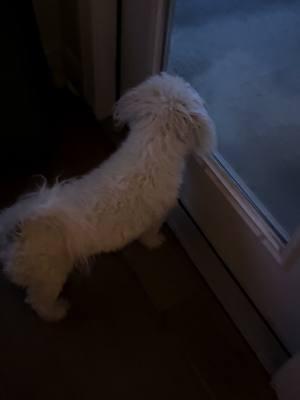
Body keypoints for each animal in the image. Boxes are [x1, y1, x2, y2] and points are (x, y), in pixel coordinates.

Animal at [0, 73, 216, 320]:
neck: (152, 145)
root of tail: (22, 224)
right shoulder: (157, 215)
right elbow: (150, 233)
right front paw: (155, 242)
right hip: (49, 275)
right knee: (39, 301)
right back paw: (57, 311)